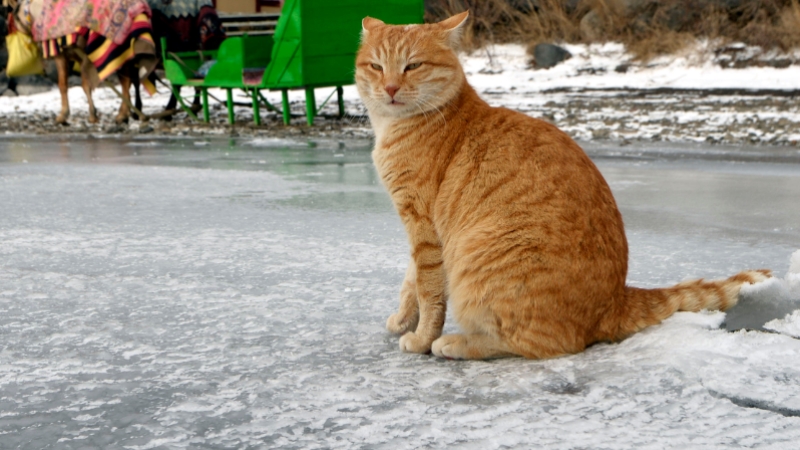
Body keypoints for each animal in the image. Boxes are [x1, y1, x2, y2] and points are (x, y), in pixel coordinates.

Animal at [354, 10, 768, 360]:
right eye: (376, 66)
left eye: (412, 65)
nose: (390, 88)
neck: (398, 127)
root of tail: (616, 300)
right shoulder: (418, 228)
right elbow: (411, 282)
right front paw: (403, 320)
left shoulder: (423, 226)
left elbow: (428, 291)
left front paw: (422, 337)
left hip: (479, 262)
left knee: (543, 344)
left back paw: (456, 343)